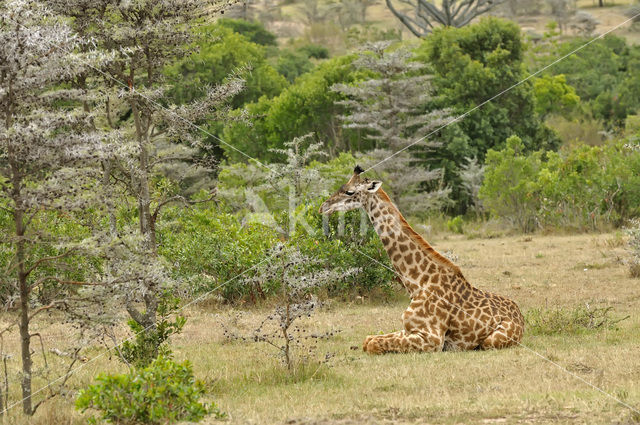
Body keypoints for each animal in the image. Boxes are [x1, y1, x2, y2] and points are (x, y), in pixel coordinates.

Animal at [320, 166, 524, 354]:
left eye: (349, 191)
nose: (323, 207)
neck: (418, 282)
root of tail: (521, 317)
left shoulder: (432, 338)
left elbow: (372, 344)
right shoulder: (408, 329)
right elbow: (368, 339)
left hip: (492, 341)